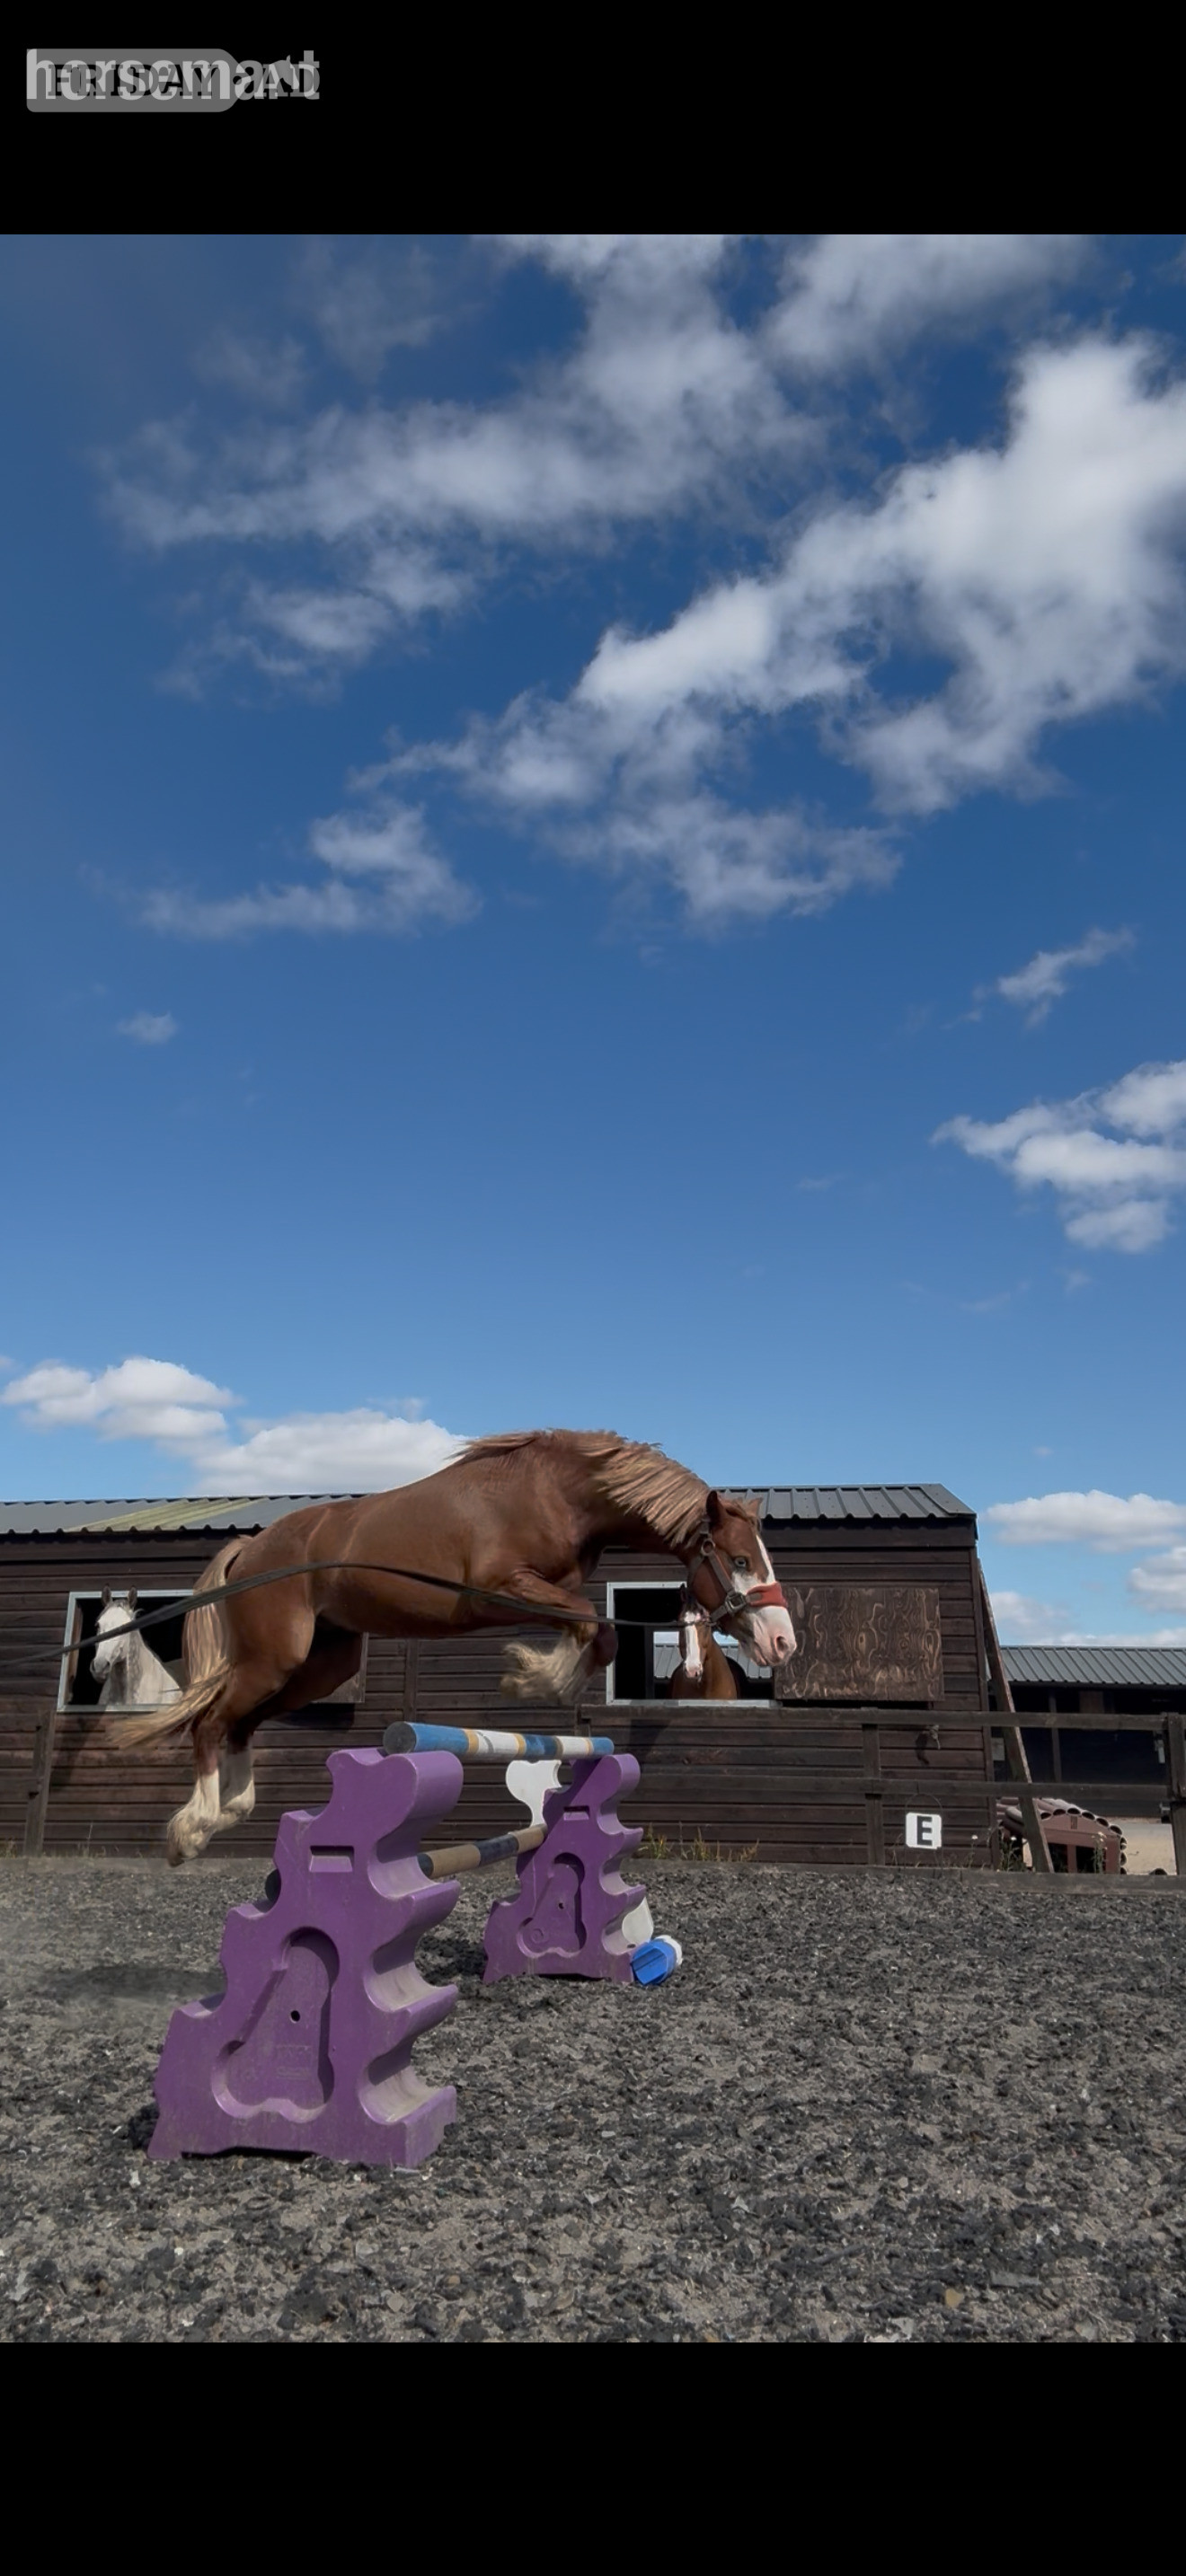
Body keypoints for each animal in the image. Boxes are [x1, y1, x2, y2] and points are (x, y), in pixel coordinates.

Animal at [111, 1430, 795, 1864]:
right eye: (739, 1560)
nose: (783, 1642)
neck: (558, 1491)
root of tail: (252, 1547)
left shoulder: (544, 1592)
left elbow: (593, 1635)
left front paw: (538, 1676)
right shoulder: (501, 1589)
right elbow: (590, 1626)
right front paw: (529, 1676)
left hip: (318, 1664)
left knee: (242, 1724)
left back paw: (234, 1809)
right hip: (272, 1658)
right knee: (210, 1722)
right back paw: (194, 1828)